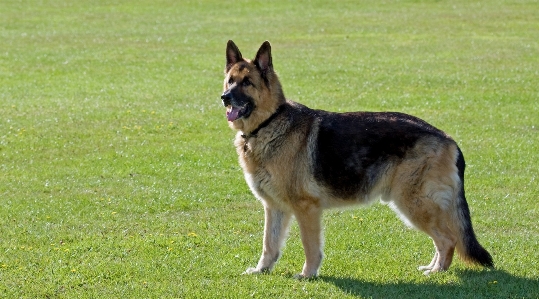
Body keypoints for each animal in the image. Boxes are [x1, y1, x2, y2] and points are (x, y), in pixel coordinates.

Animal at [219, 39, 494, 278]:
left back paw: (437, 272)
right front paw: (262, 270)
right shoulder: (274, 208)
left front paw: (308, 275)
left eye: (247, 83)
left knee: (448, 239)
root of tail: (448, 138)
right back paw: (433, 267)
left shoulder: (306, 209)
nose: (225, 98)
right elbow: (269, 244)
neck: (269, 123)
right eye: (230, 81)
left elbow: (310, 246)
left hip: (413, 204)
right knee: (444, 239)